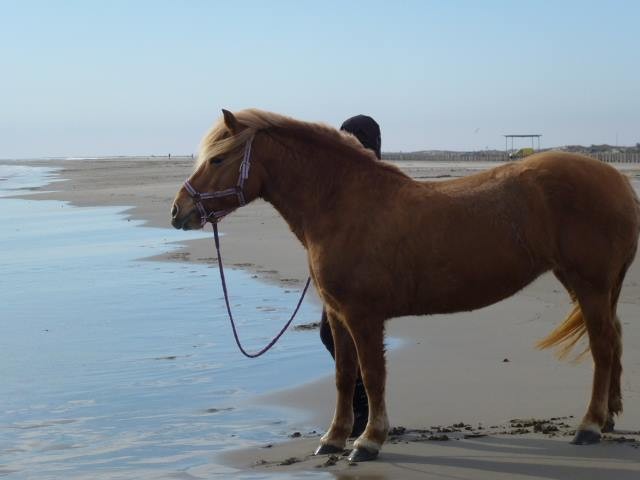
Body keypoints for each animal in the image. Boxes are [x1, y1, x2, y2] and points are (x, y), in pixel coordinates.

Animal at [171, 108, 639, 462]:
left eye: (217, 160)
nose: (178, 211)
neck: (344, 205)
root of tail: (616, 179)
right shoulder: (338, 315)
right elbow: (344, 375)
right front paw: (333, 438)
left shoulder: (364, 316)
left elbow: (373, 375)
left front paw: (368, 442)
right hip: (587, 285)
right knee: (614, 340)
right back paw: (608, 417)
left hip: (590, 285)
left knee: (602, 348)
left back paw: (589, 426)